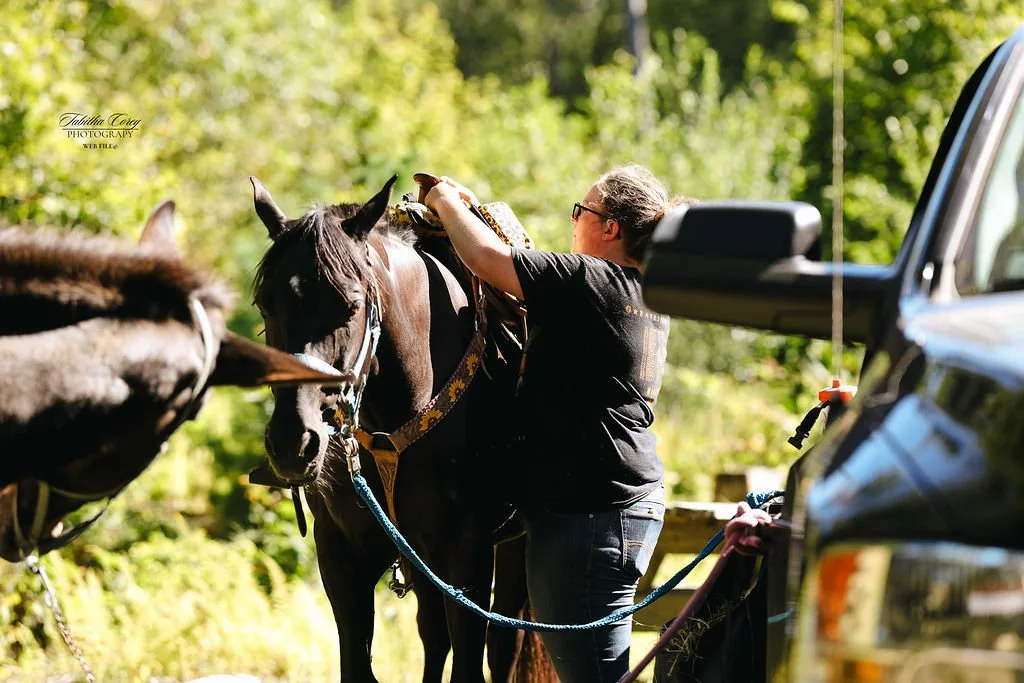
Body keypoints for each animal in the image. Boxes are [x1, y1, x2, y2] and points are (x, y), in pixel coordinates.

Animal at [249, 175, 536, 682]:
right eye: (266, 305)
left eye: (351, 305)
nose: (292, 443)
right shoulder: (342, 555)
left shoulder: (467, 558)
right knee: (433, 635)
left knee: (504, 644)